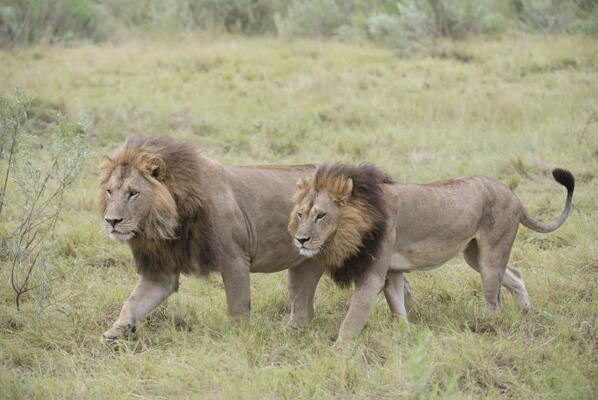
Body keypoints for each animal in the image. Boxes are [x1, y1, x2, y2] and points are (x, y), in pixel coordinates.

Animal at [99, 137, 328, 338]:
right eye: (109, 192)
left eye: (133, 193)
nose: (111, 221)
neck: (170, 222)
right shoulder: (160, 271)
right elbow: (133, 301)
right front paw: (117, 331)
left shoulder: (235, 259)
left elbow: (237, 308)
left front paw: (241, 339)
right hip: (304, 266)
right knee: (304, 311)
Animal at [290, 164, 576, 346]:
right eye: (300, 214)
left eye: (321, 215)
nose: (300, 239)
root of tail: (513, 195)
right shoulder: (392, 272)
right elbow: (398, 308)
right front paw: (405, 336)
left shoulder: (372, 276)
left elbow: (352, 319)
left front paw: (337, 352)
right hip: (474, 256)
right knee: (516, 276)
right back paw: (527, 313)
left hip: (491, 255)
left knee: (494, 304)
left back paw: (486, 328)